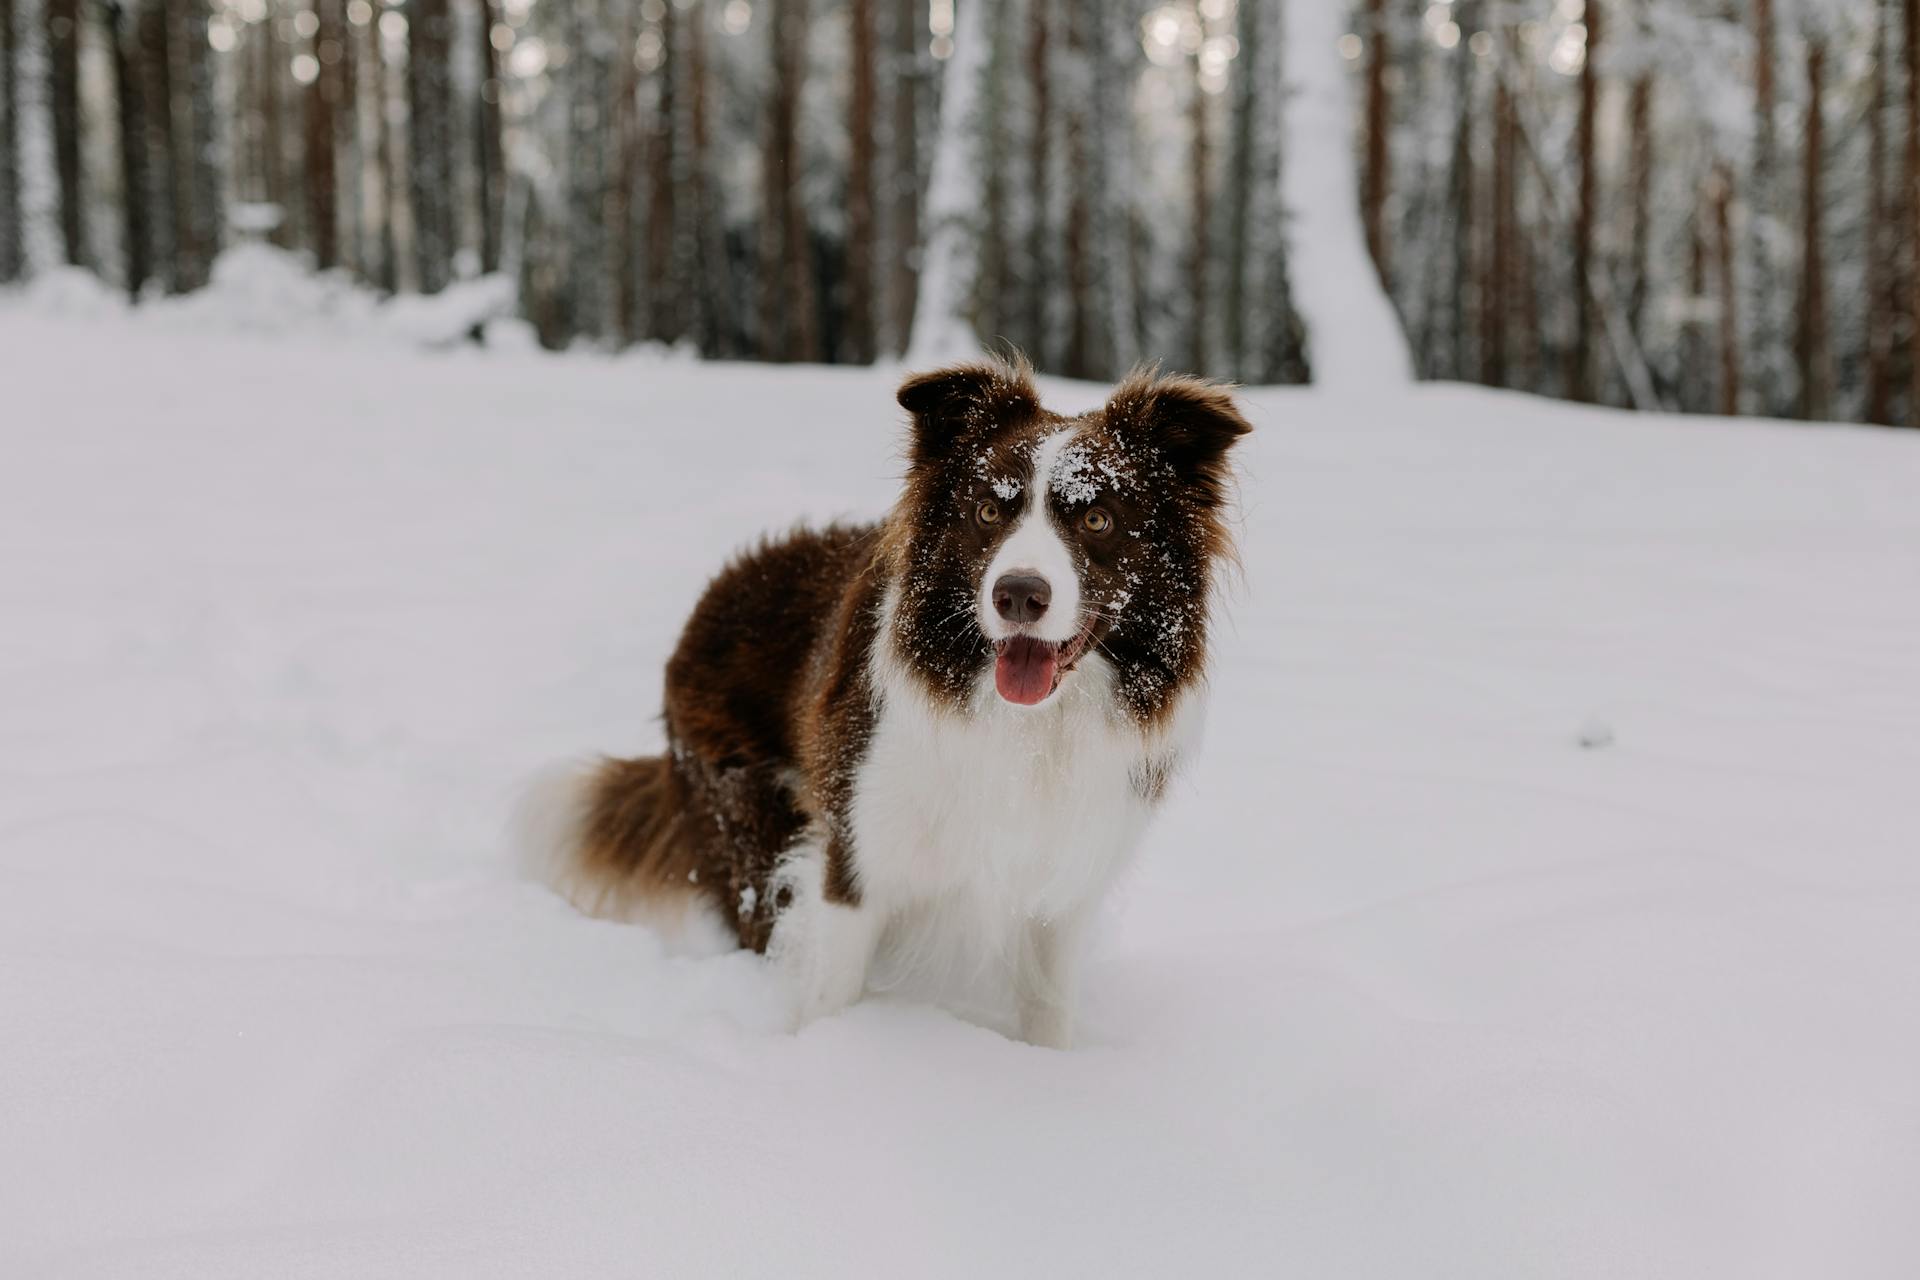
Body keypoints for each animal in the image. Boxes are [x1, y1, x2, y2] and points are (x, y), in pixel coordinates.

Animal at [533, 360, 1251, 1051]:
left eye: (1098, 519)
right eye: (988, 513)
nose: (1019, 594)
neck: (1024, 726)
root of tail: (718, 589)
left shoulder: (1060, 884)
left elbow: (1047, 1013)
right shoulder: (854, 861)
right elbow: (829, 992)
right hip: (746, 817)